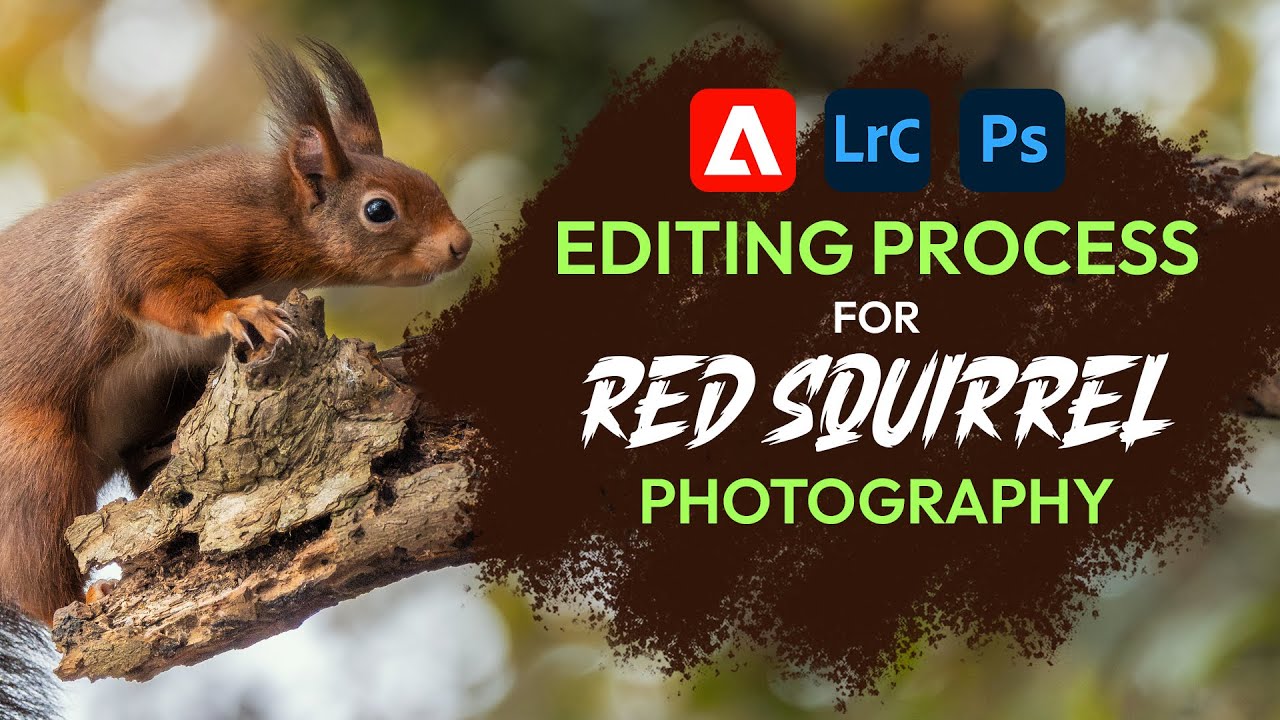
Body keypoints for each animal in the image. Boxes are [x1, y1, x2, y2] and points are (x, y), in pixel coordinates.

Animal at [0, 38, 473, 634]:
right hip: (34, 454)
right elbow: (143, 275)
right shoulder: (171, 223)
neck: (274, 210)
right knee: (35, 557)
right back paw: (82, 598)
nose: (461, 243)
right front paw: (234, 311)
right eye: (378, 209)